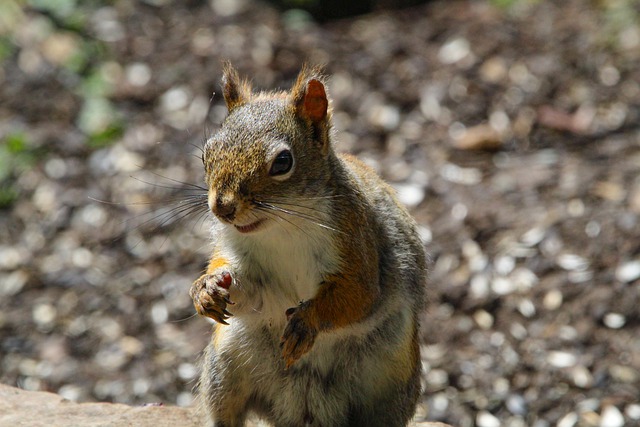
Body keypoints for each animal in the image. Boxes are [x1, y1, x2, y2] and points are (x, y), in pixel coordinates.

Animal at [190, 62, 430, 427]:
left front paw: (306, 322)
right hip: (227, 365)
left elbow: (357, 297)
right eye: (207, 155)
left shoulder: (357, 242)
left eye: (282, 162)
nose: (223, 208)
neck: (281, 229)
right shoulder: (252, 268)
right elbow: (249, 290)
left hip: (389, 379)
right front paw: (207, 288)